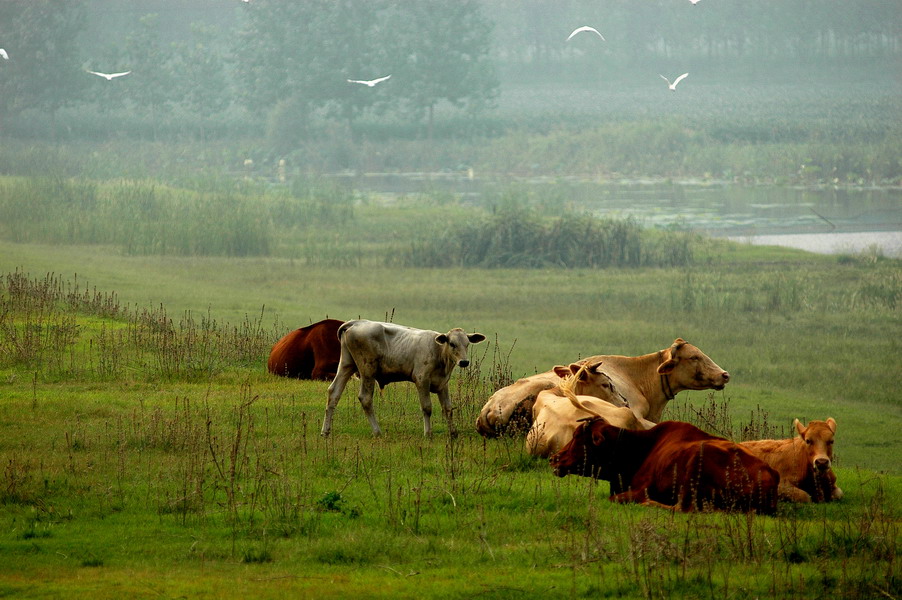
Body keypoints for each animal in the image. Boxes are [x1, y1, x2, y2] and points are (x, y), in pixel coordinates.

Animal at [552, 420, 784, 512]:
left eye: (577, 436)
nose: (555, 458)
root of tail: (771, 474)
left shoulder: (639, 489)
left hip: (696, 463)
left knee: (684, 509)